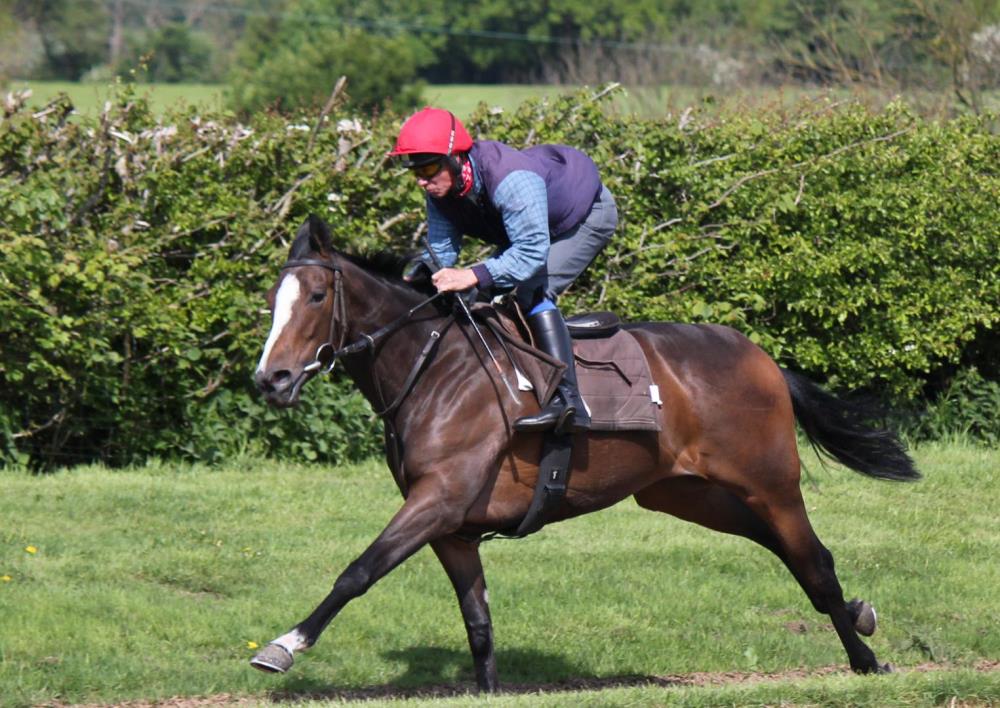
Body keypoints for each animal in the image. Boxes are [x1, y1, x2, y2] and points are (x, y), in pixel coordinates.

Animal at [250, 214, 919, 691]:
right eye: (271, 300)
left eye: (316, 296)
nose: (271, 380)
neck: (433, 368)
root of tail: (763, 359)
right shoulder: (452, 527)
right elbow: (478, 622)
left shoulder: (438, 499)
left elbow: (357, 571)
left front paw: (284, 646)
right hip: (684, 494)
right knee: (783, 547)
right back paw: (858, 616)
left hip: (771, 482)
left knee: (813, 558)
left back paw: (865, 659)